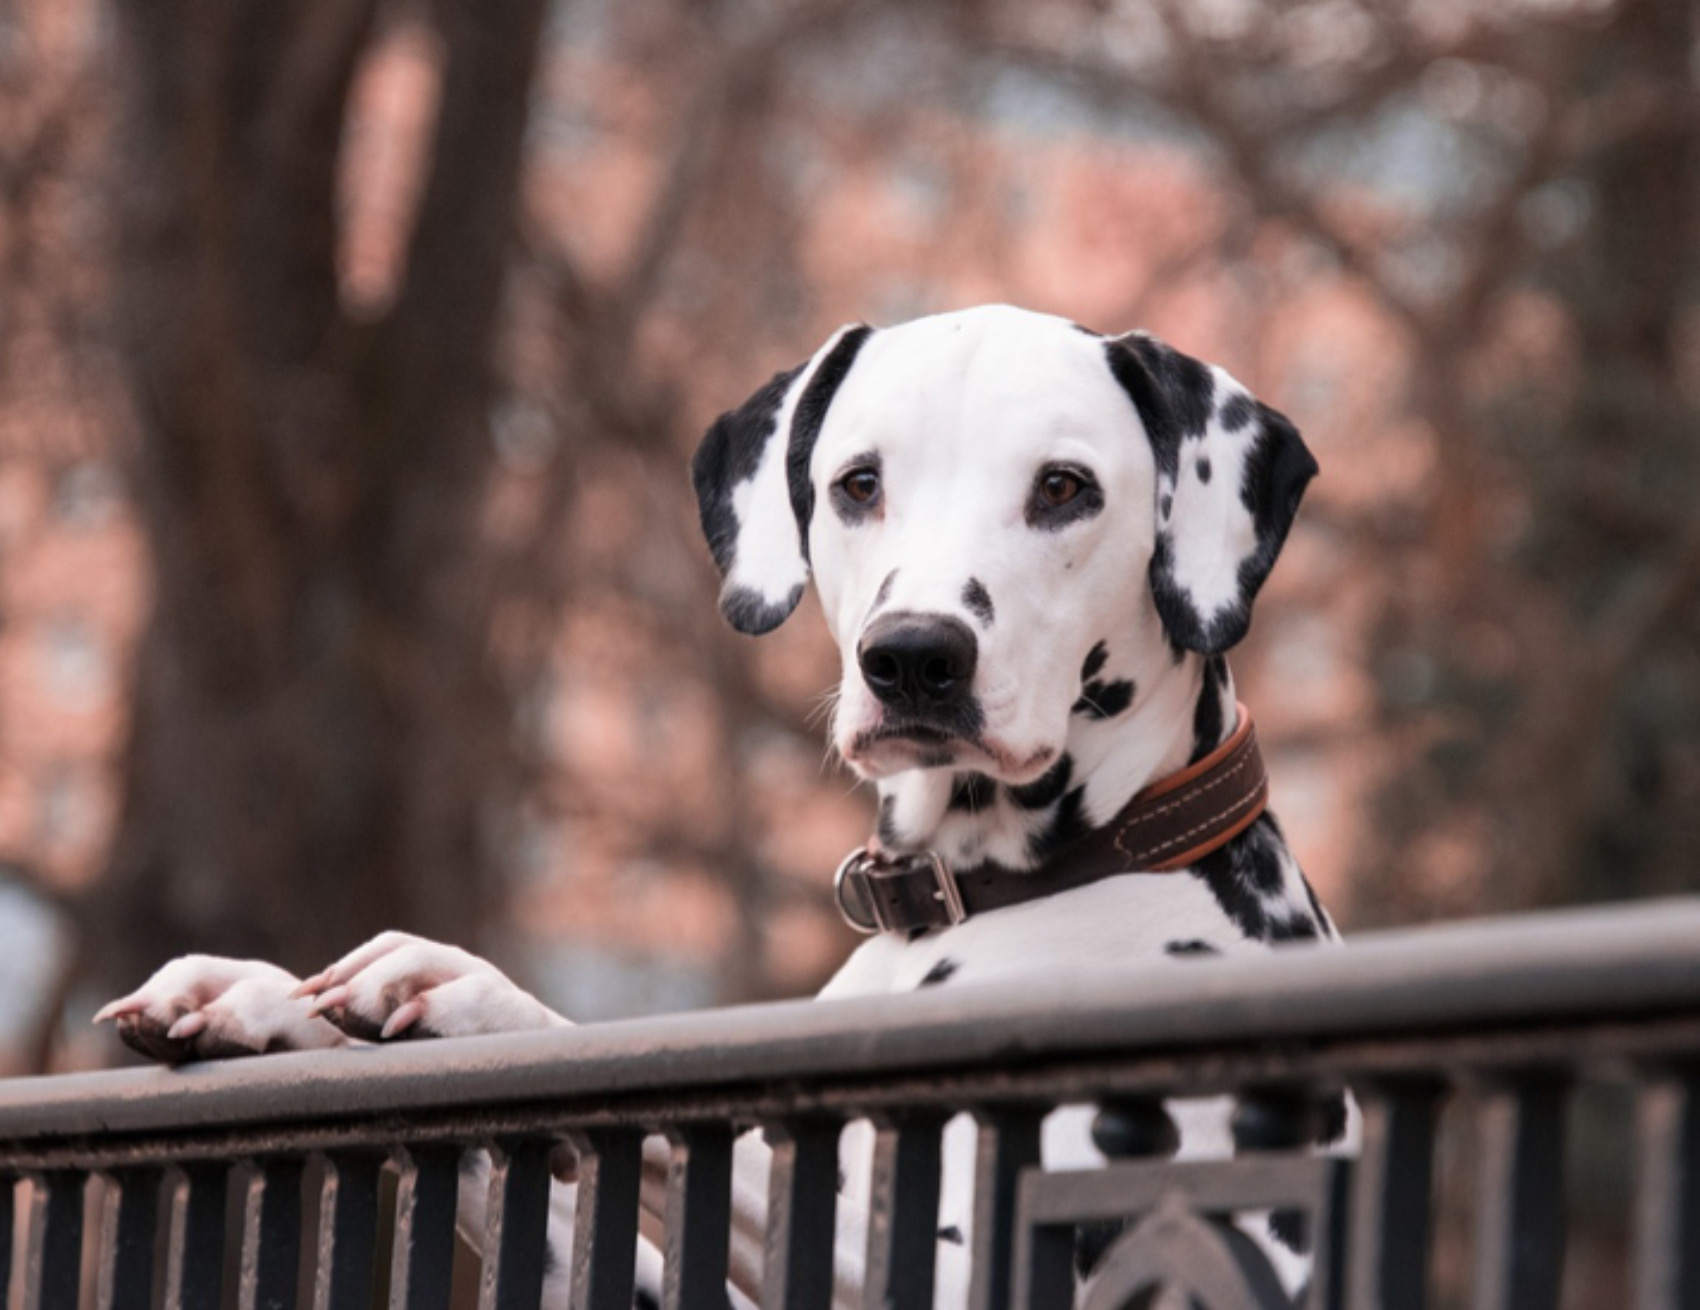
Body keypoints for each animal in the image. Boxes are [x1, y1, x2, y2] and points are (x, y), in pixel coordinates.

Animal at [96, 304, 1339, 1298]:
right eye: (857, 482)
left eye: (1063, 488)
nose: (913, 657)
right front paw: (266, 998)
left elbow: (704, 1126)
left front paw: (468, 991)